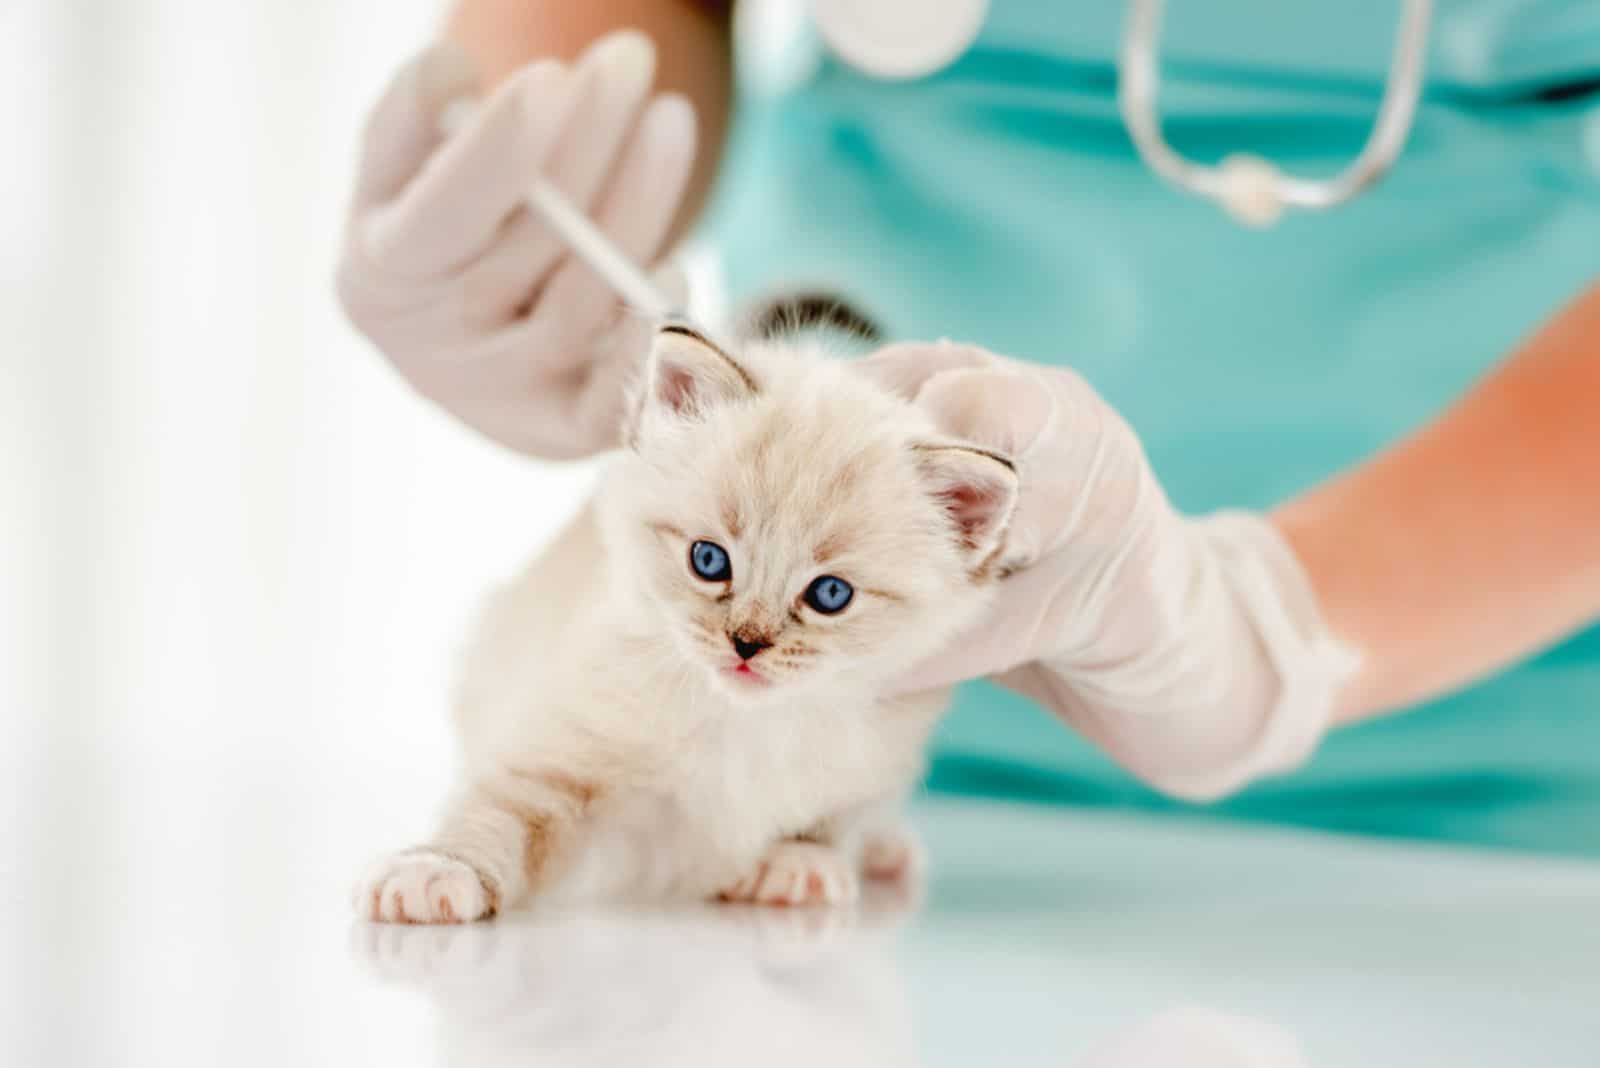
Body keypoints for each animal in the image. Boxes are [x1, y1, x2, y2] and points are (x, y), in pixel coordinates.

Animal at [356, 327, 1017, 927]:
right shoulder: (566, 755)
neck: (748, 723)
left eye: (830, 595)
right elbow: (499, 816)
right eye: (708, 560)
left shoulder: (876, 764)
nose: (746, 644)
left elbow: (830, 820)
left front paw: (797, 864)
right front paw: (437, 870)